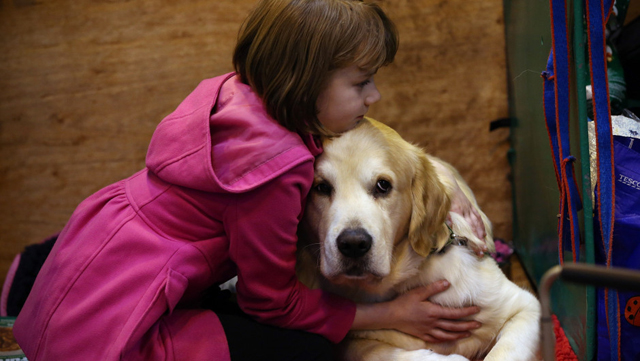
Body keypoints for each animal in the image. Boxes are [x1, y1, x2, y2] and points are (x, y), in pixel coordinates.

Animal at [296, 118, 540, 360]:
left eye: (383, 185)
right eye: (321, 187)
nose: (353, 244)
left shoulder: (525, 306)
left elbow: (502, 353)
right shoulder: (354, 340)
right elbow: (384, 353)